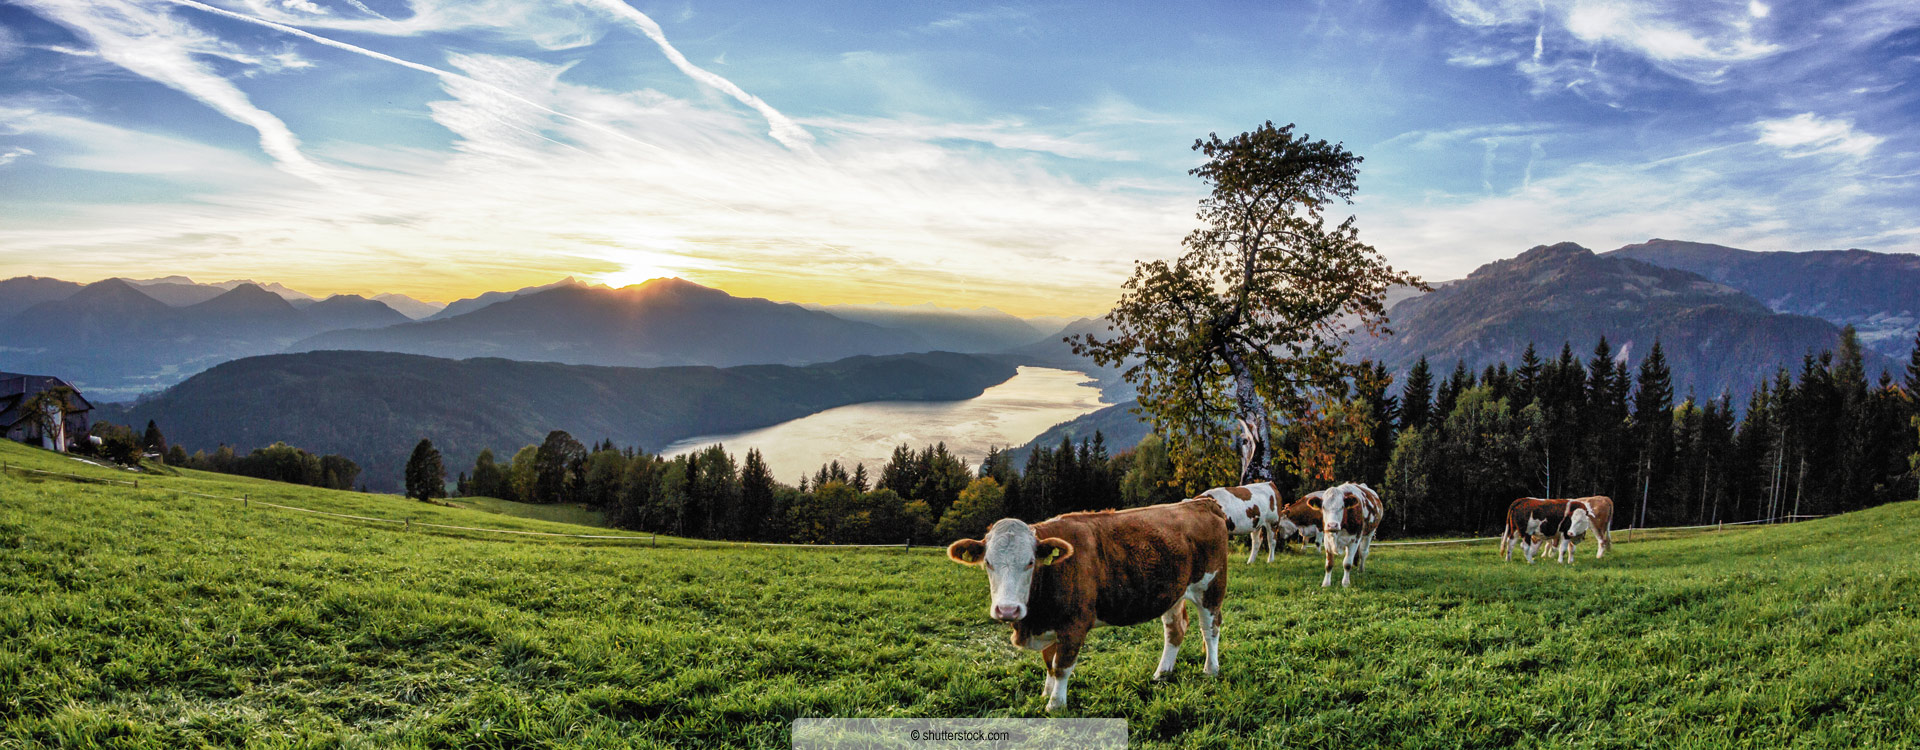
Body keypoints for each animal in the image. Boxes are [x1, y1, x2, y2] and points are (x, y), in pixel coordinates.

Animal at [944, 498, 1228, 709]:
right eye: (988, 562)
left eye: (1030, 562)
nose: (1007, 610)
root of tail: (1202, 502)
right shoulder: (1051, 624)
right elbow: (1049, 663)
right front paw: (1046, 694)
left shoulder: (1074, 624)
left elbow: (1061, 665)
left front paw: (1055, 705)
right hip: (1172, 593)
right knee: (1175, 630)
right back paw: (1162, 674)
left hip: (1210, 587)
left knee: (1210, 628)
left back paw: (1211, 669)